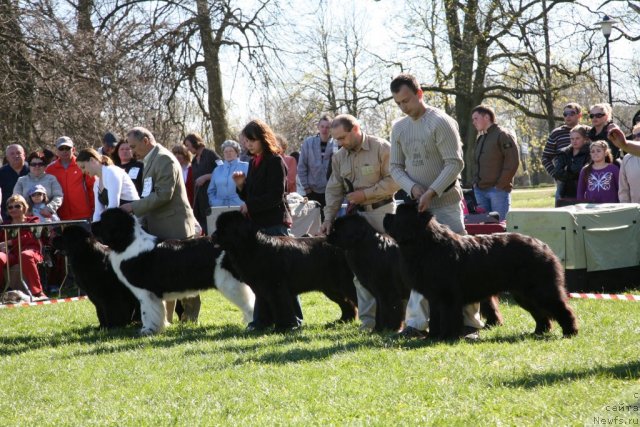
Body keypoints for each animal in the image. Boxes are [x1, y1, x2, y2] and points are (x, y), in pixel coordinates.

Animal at [90, 209, 255, 336]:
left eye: (103, 220)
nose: (91, 224)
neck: (127, 242)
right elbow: (158, 311)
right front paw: (160, 327)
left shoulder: (145, 292)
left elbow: (146, 312)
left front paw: (147, 330)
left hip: (230, 284)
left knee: (249, 303)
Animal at [212, 211, 358, 332]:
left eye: (225, 228)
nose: (213, 236)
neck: (252, 248)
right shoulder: (261, 290)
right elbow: (263, 307)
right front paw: (261, 326)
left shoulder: (276, 288)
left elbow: (281, 307)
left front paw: (282, 327)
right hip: (331, 288)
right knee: (347, 303)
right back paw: (343, 320)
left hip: (345, 283)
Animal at [384, 204, 580, 342]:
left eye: (399, 214)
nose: (386, 215)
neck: (425, 245)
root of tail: (544, 246)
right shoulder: (434, 296)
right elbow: (435, 317)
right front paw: (433, 336)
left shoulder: (447, 296)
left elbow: (447, 316)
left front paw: (447, 337)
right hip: (524, 294)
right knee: (540, 313)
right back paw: (538, 332)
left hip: (541, 289)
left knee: (561, 308)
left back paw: (570, 332)